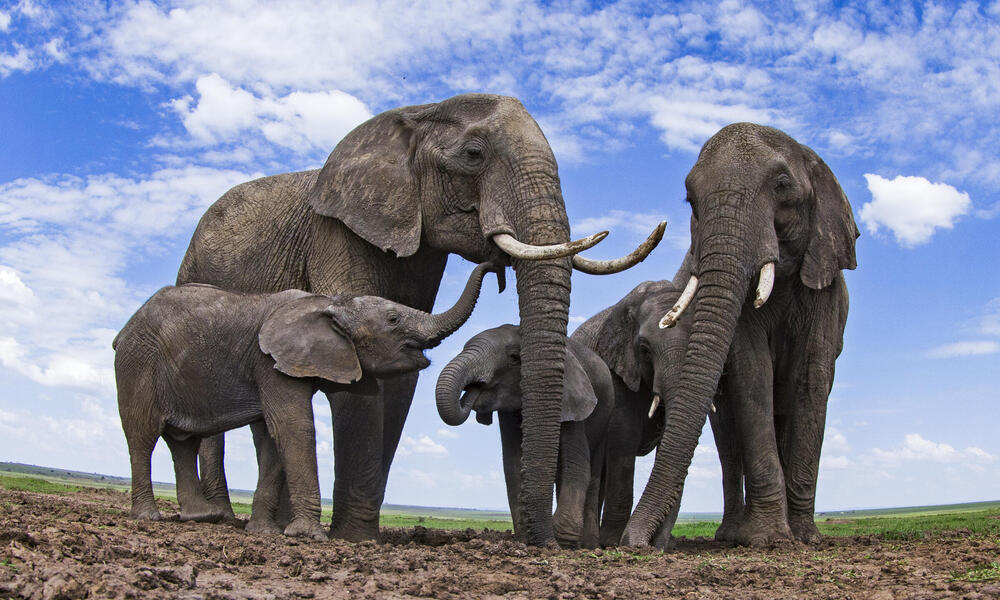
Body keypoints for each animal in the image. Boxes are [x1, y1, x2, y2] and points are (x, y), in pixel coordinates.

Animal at [114, 262, 496, 540]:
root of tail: (125, 329)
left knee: (184, 441)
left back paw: (200, 517)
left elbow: (272, 437)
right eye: (393, 319)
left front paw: (265, 533)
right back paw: (148, 516)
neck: (329, 303)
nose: (494, 267)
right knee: (142, 436)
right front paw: (308, 536)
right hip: (137, 363)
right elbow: (294, 426)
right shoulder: (268, 362)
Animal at [440, 326, 616, 548]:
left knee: (593, 472)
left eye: (515, 358)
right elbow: (513, 464)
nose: (474, 389)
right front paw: (526, 539)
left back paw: (589, 547)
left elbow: (577, 466)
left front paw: (562, 542)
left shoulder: (571, 398)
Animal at [620, 124, 856, 552]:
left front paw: (806, 539)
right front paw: (769, 540)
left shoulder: (825, 284)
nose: (634, 544)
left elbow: (811, 379)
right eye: (691, 200)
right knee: (728, 437)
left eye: (782, 185)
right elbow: (752, 374)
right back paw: (731, 535)